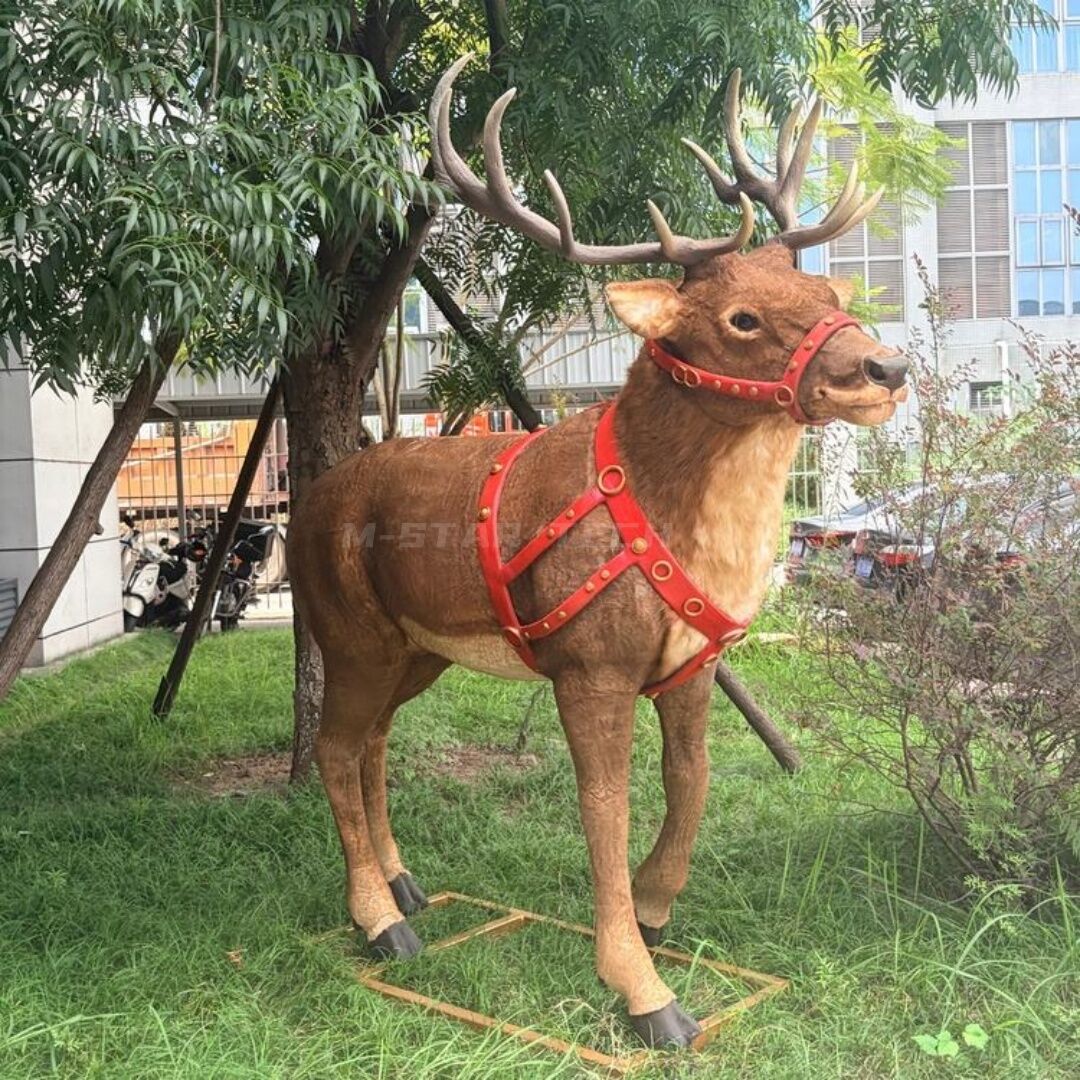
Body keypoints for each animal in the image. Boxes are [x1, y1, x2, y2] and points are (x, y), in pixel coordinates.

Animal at [287, 57, 909, 1048]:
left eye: (832, 299)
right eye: (741, 319)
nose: (884, 369)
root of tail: (300, 510)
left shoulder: (695, 660)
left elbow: (691, 782)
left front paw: (656, 912)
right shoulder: (590, 664)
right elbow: (603, 809)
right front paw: (646, 991)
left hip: (416, 648)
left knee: (373, 740)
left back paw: (405, 884)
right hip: (348, 627)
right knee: (337, 748)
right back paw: (381, 922)